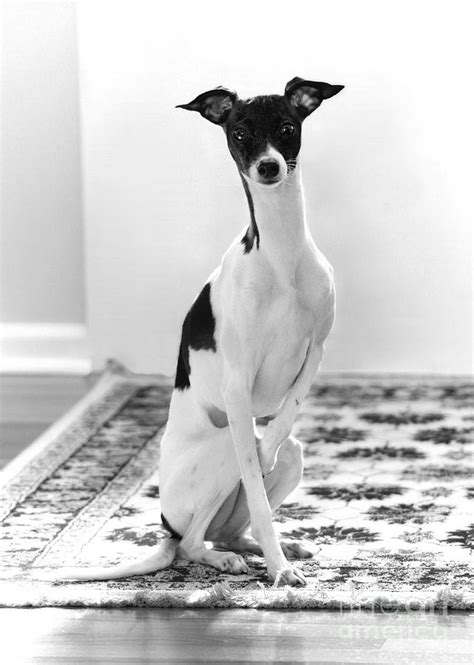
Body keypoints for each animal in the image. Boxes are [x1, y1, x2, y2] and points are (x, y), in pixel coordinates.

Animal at [55, 79, 342, 588]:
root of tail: (164, 525)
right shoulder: (237, 382)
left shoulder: (314, 354)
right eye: (240, 133)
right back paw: (231, 558)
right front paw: (279, 571)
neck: (282, 256)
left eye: (287, 127)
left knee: (230, 528)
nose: (268, 168)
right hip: (219, 457)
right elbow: (256, 480)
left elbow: (283, 418)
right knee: (192, 542)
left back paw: (262, 546)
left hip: (290, 458)